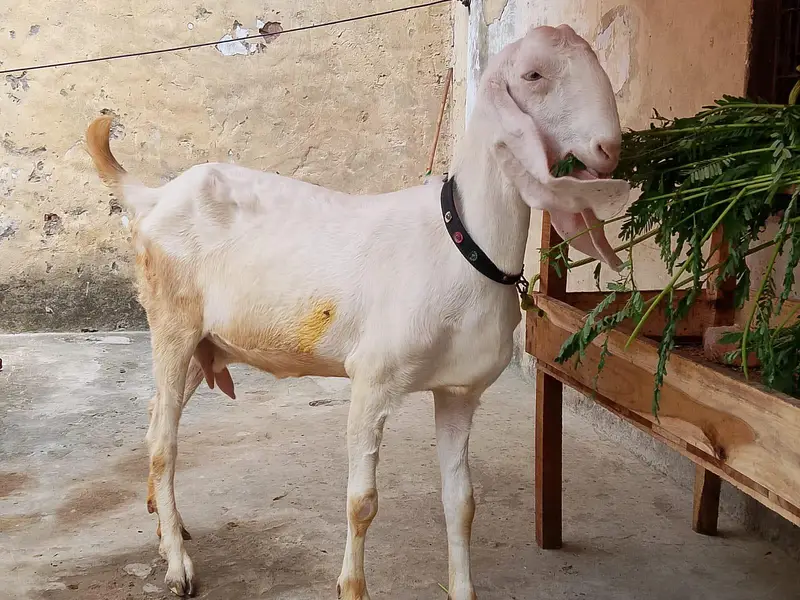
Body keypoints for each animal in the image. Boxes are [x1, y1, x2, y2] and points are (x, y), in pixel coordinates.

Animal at [86, 23, 629, 600]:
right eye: (533, 75)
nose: (609, 149)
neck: (460, 242)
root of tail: (154, 197)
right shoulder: (373, 378)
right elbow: (362, 502)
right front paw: (353, 586)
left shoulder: (460, 391)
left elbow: (462, 504)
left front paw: (462, 587)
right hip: (172, 319)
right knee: (163, 442)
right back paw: (177, 564)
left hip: (204, 343)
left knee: (155, 417)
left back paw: (165, 521)